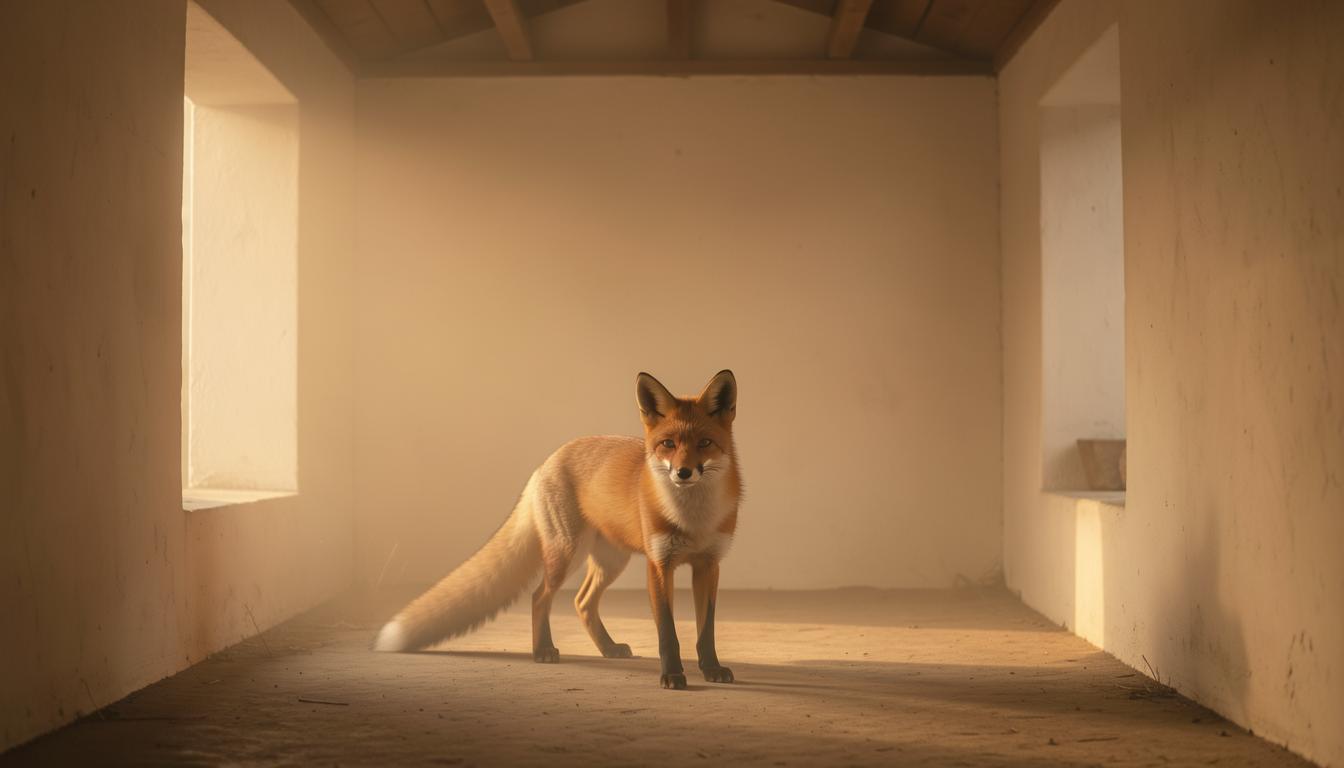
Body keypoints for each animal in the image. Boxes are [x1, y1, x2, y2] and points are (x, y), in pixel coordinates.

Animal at [373, 369, 742, 690]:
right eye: (668, 444)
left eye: (705, 442)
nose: (683, 473)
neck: (692, 519)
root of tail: (547, 461)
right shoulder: (660, 564)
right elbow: (668, 632)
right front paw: (672, 676)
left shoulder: (709, 565)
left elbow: (706, 631)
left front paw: (711, 669)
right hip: (566, 553)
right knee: (540, 596)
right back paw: (543, 651)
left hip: (610, 561)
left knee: (582, 601)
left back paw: (608, 648)